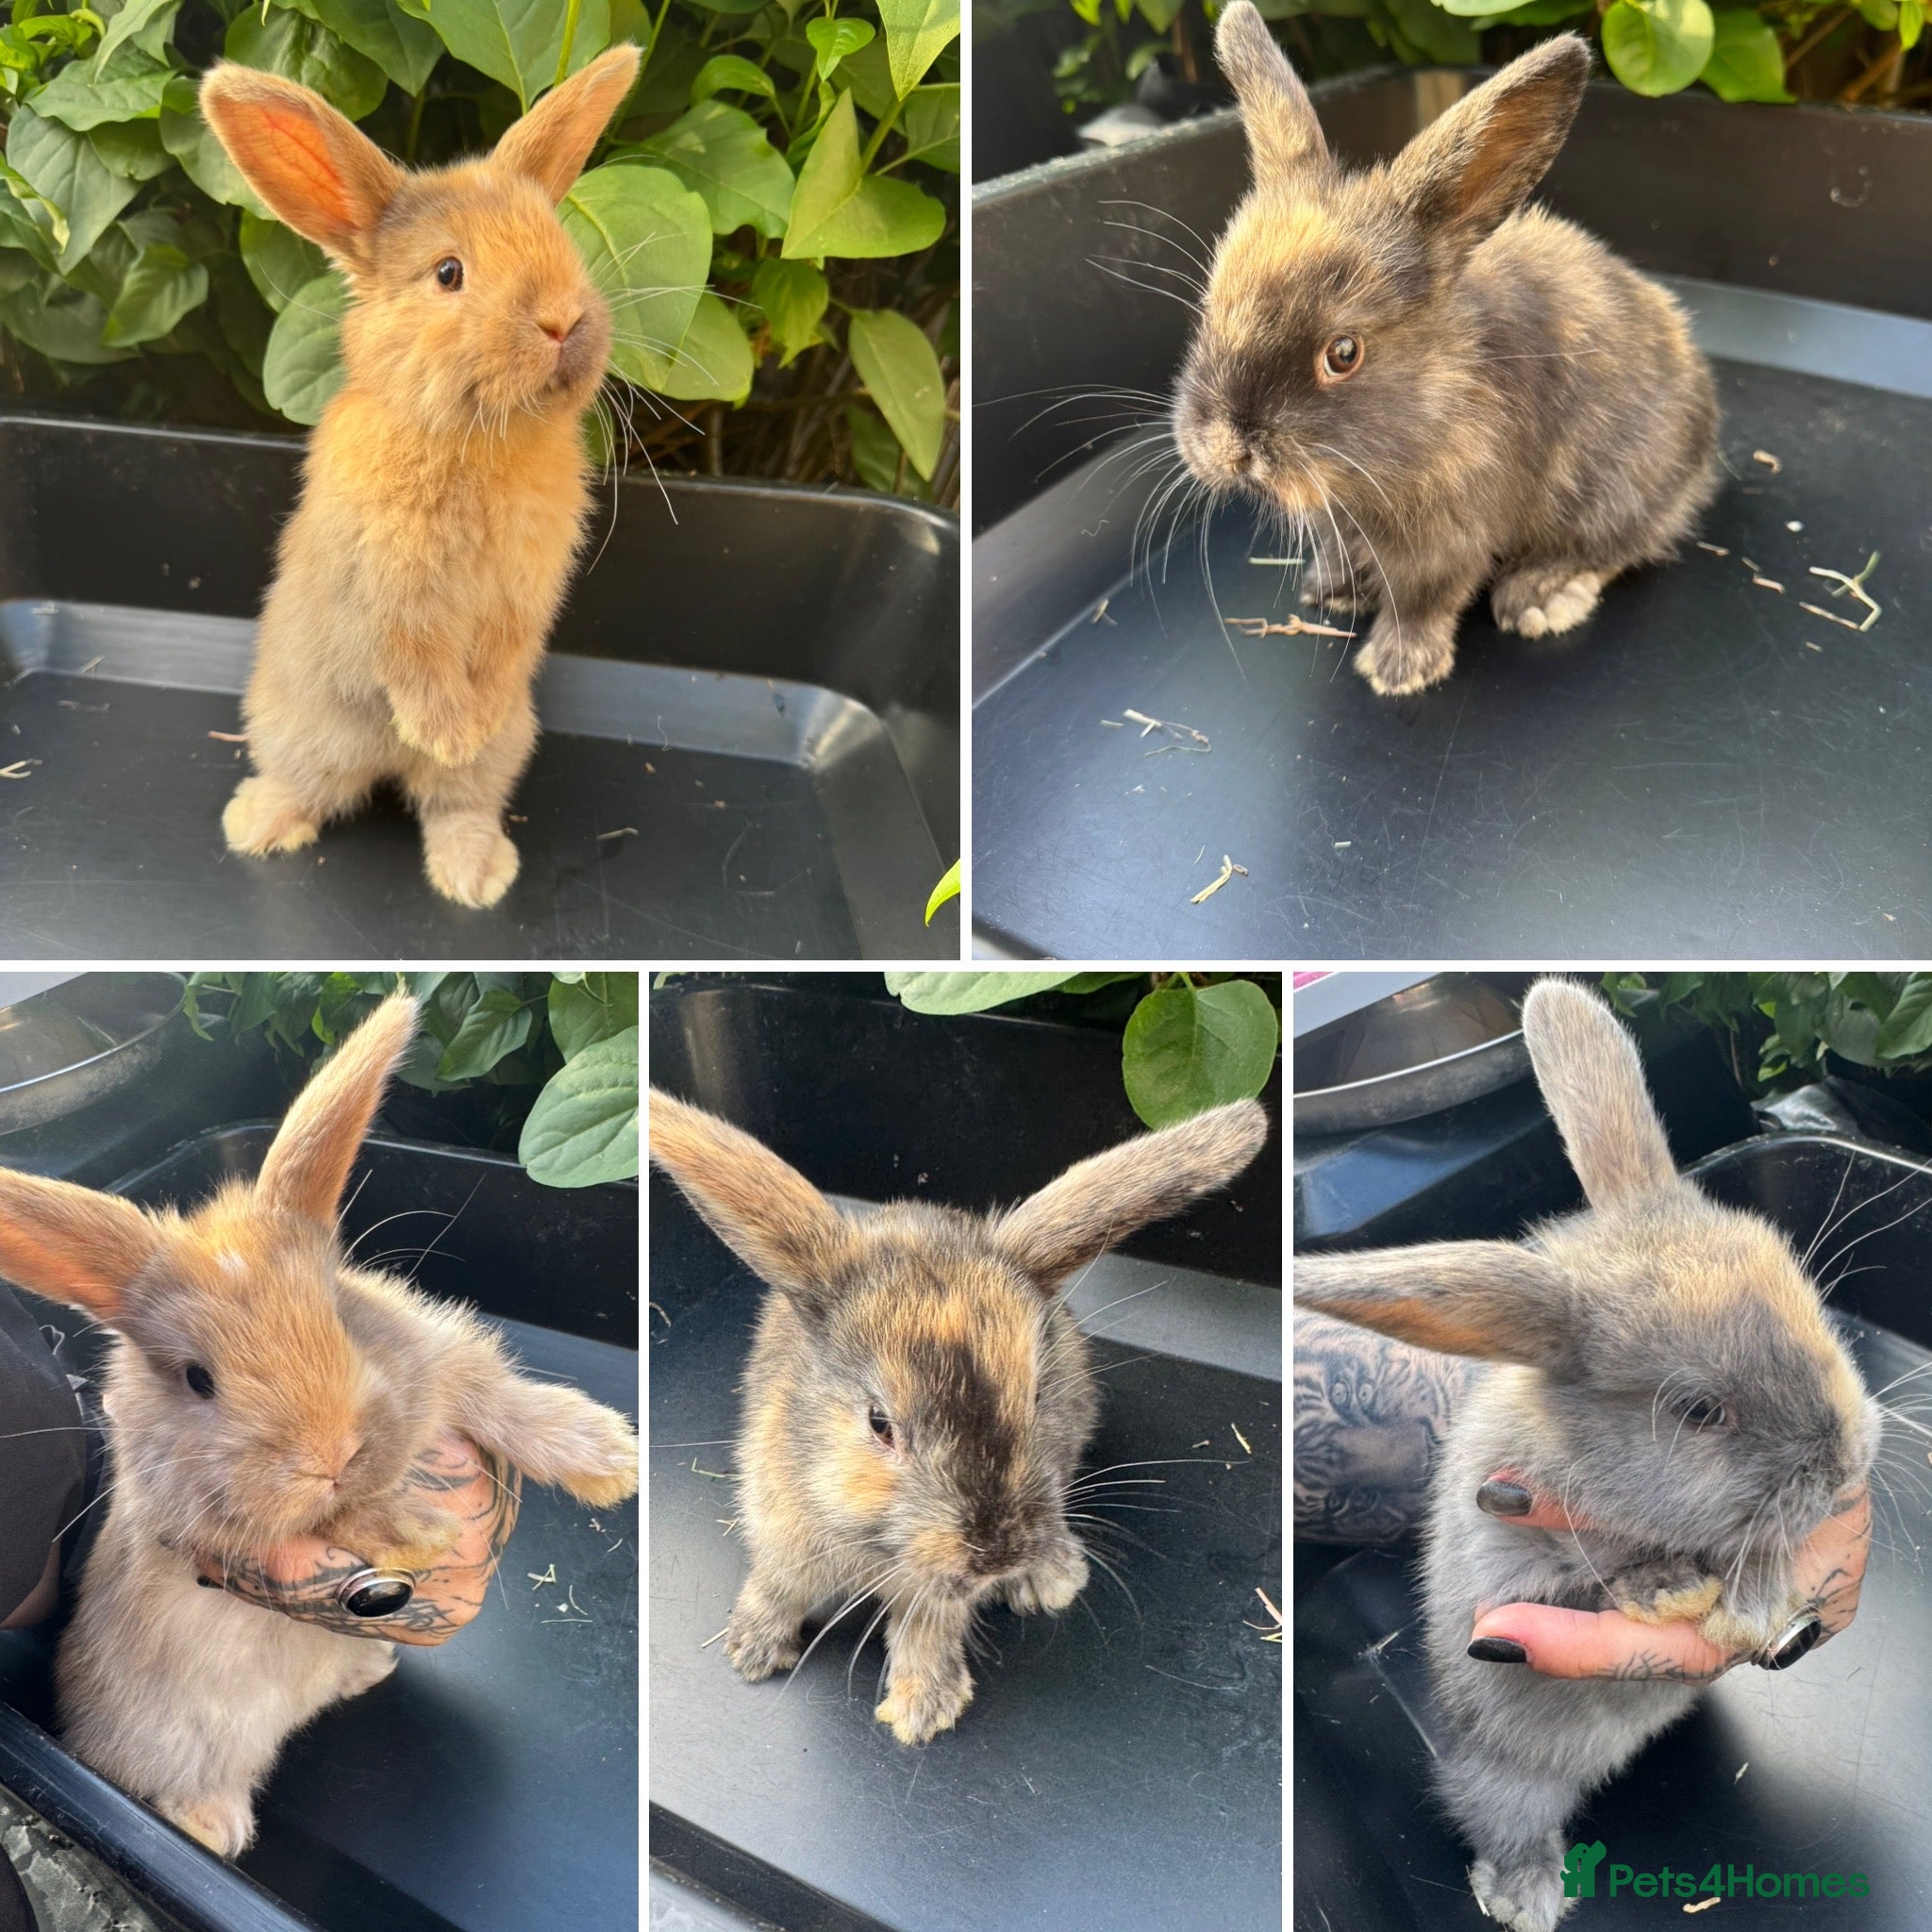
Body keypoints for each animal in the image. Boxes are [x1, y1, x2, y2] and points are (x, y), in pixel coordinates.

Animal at [0, 994, 639, 1859]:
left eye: (340, 1313)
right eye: (198, 1378)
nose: (332, 1451)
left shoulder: (438, 1358)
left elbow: (502, 1398)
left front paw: (608, 1459)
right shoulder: (215, 1526)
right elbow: (335, 1518)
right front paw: (418, 1528)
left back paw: (370, 1666)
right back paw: (207, 1828)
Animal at [198, 45, 640, 907]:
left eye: (561, 241)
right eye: (448, 273)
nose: (564, 320)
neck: (478, 437)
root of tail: (383, 770)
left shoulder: (523, 596)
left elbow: (501, 651)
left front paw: (464, 730)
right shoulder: (388, 591)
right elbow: (413, 660)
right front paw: (445, 730)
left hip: (508, 751)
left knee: (455, 803)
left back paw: (476, 875)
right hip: (301, 730)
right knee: (310, 785)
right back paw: (256, 824)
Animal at [649, 1089, 1269, 1744]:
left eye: (1037, 1397)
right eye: (879, 1422)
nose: (997, 1556)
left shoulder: (936, 1594)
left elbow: (927, 1630)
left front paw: (923, 1711)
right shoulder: (781, 1528)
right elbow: (778, 1585)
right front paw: (752, 1651)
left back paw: (1054, 1578)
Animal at [1174, 7, 1718, 695]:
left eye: (1343, 353)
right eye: (1210, 307)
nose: (1225, 447)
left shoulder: (1446, 541)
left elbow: (1423, 602)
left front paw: (1397, 670)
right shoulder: (1340, 525)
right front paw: (1333, 593)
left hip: (1618, 489)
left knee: (1618, 546)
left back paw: (1540, 596)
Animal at [1295, 978, 1880, 1930]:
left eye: (1810, 1305)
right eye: (1700, 1410)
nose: (1848, 1464)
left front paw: (1743, 1599)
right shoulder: (1506, 1570)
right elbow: (1591, 1581)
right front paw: (1675, 1589)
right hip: (1508, 1780)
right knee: (1503, 1819)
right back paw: (1525, 1895)